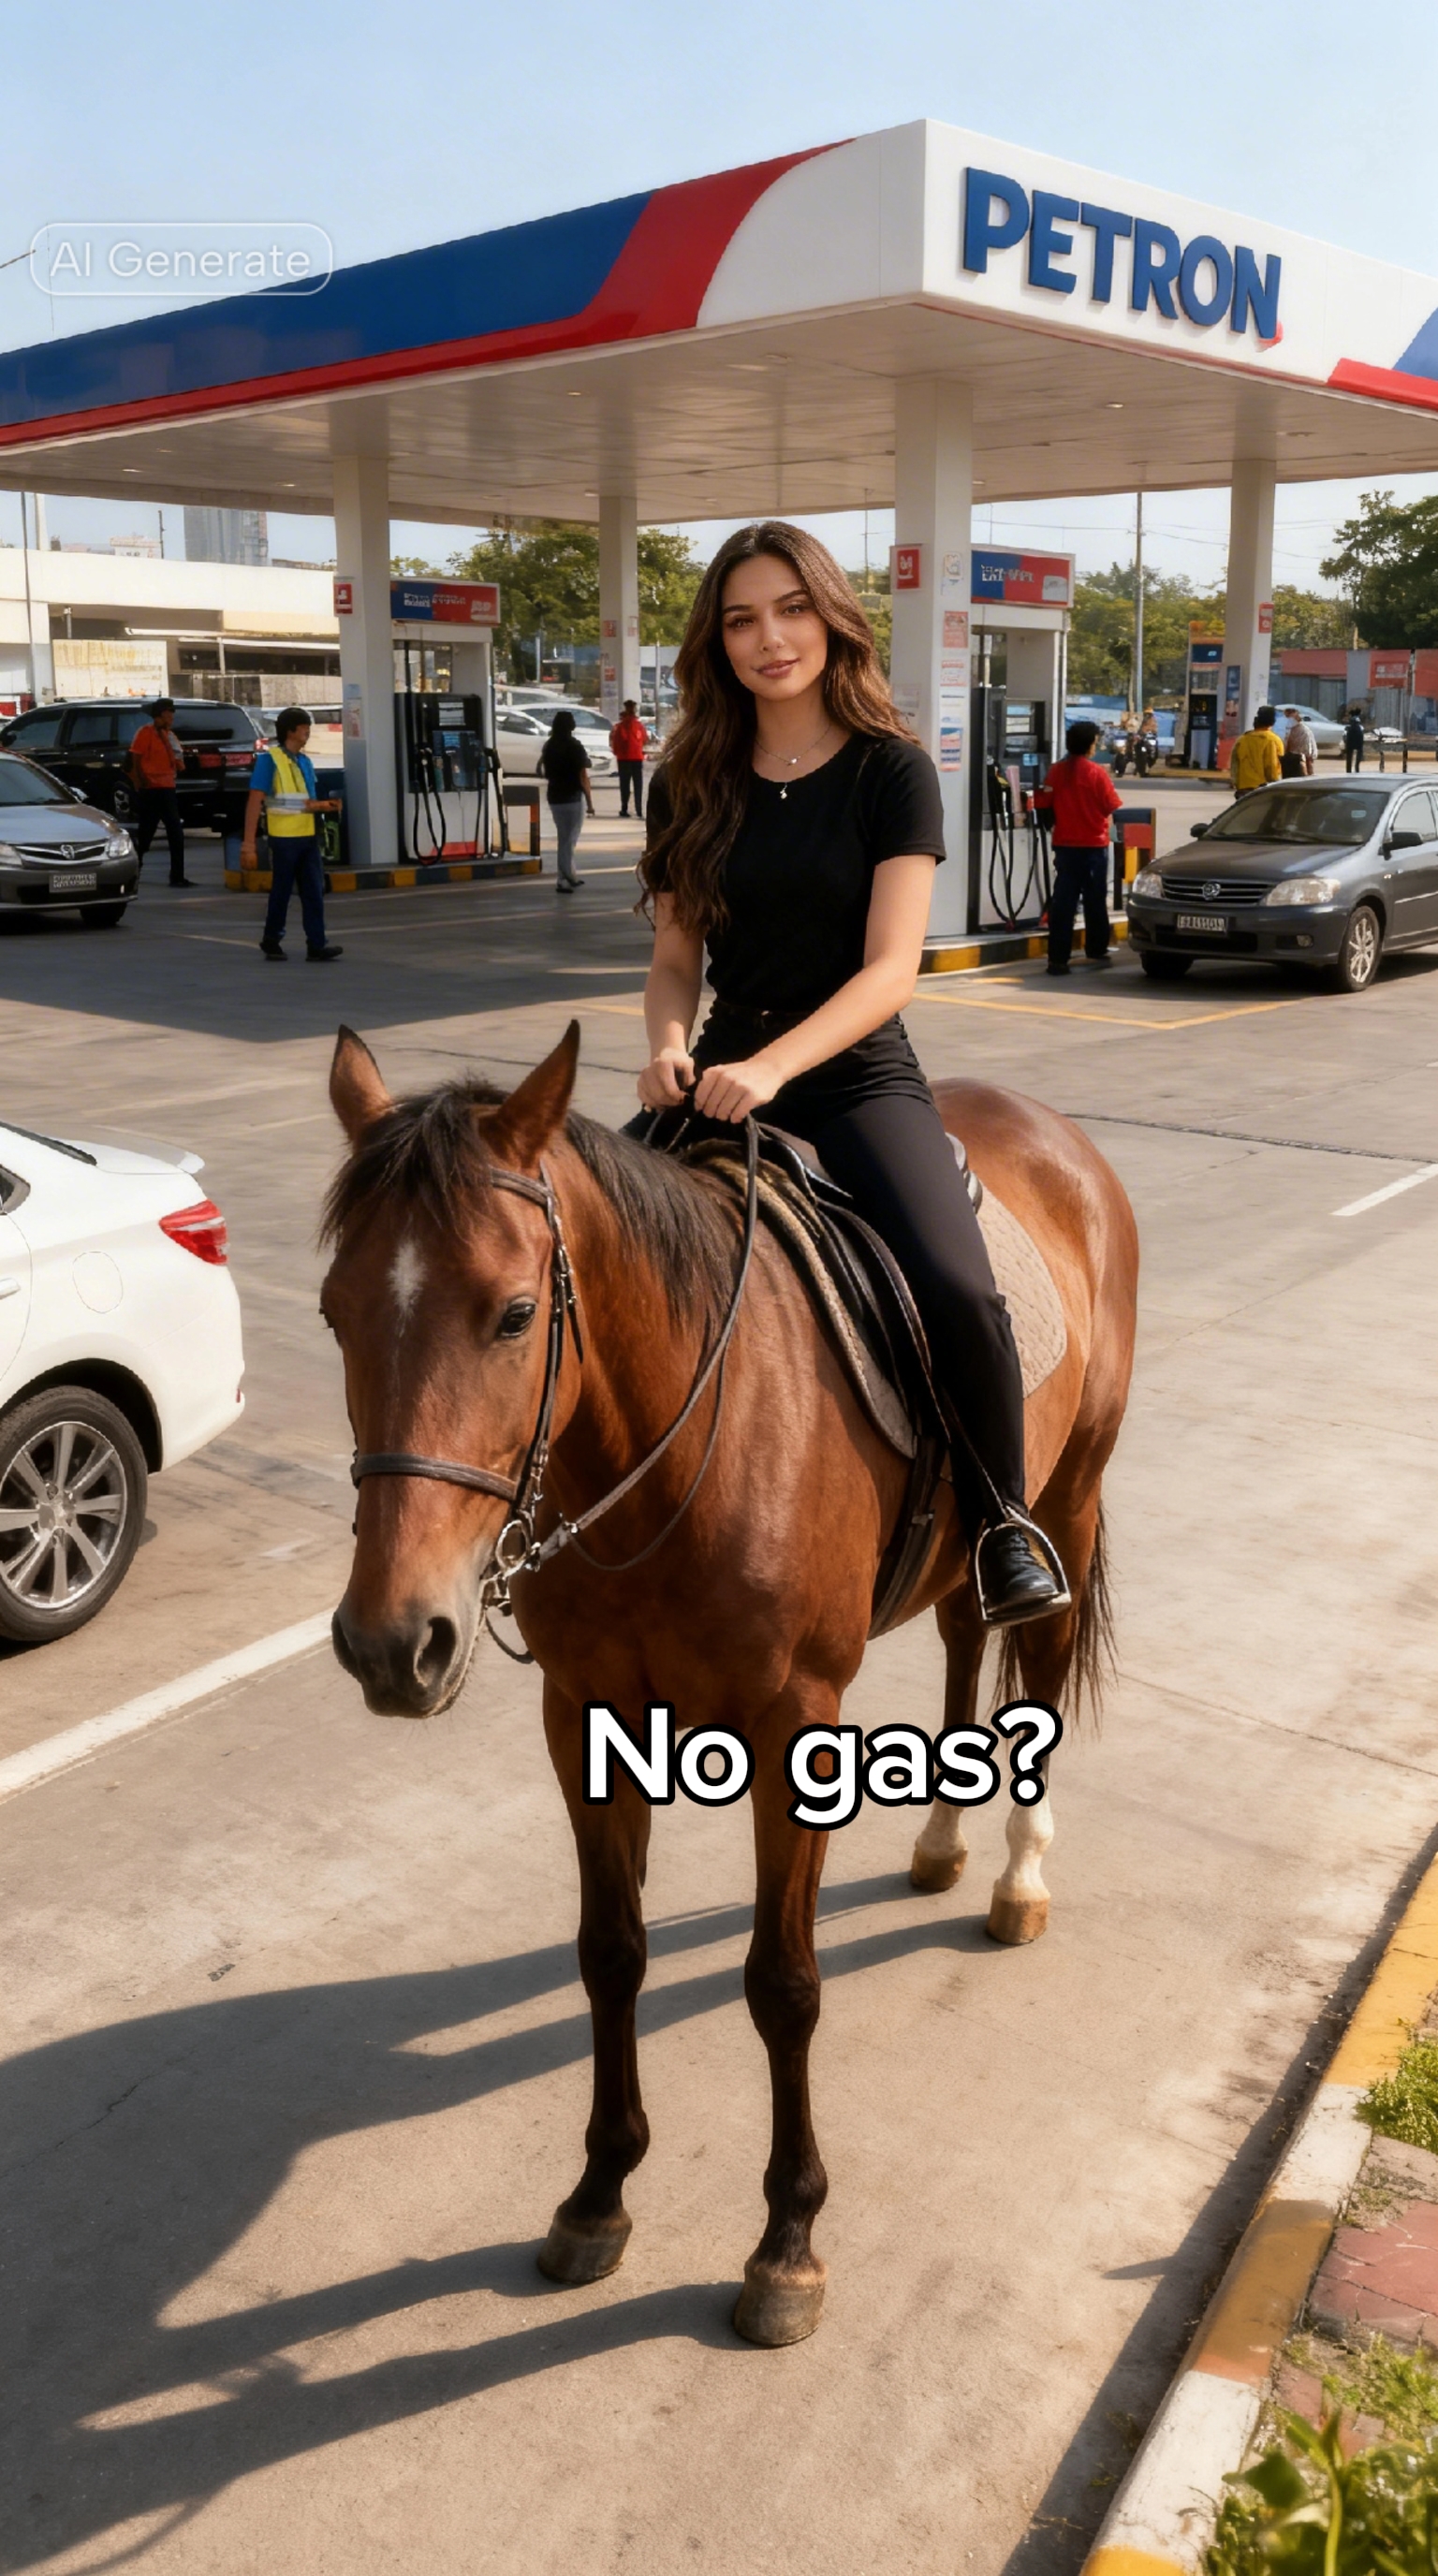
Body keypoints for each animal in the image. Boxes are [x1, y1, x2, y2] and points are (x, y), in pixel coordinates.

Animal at [321, 1020, 1138, 2347]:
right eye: (336, 1313)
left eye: (511, 1314)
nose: (395, 1641)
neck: (668, 1456)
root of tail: (1055, 1132)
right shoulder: (582, 1713)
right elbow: (611, 1951)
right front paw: (598, 2191)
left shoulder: (793, 1717)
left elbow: (783, 1982)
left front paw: (787, 2240)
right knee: (965, 1637)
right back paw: (942, 1842)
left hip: (1067, 1493)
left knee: (1041, 1658)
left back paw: (1019, 1874)